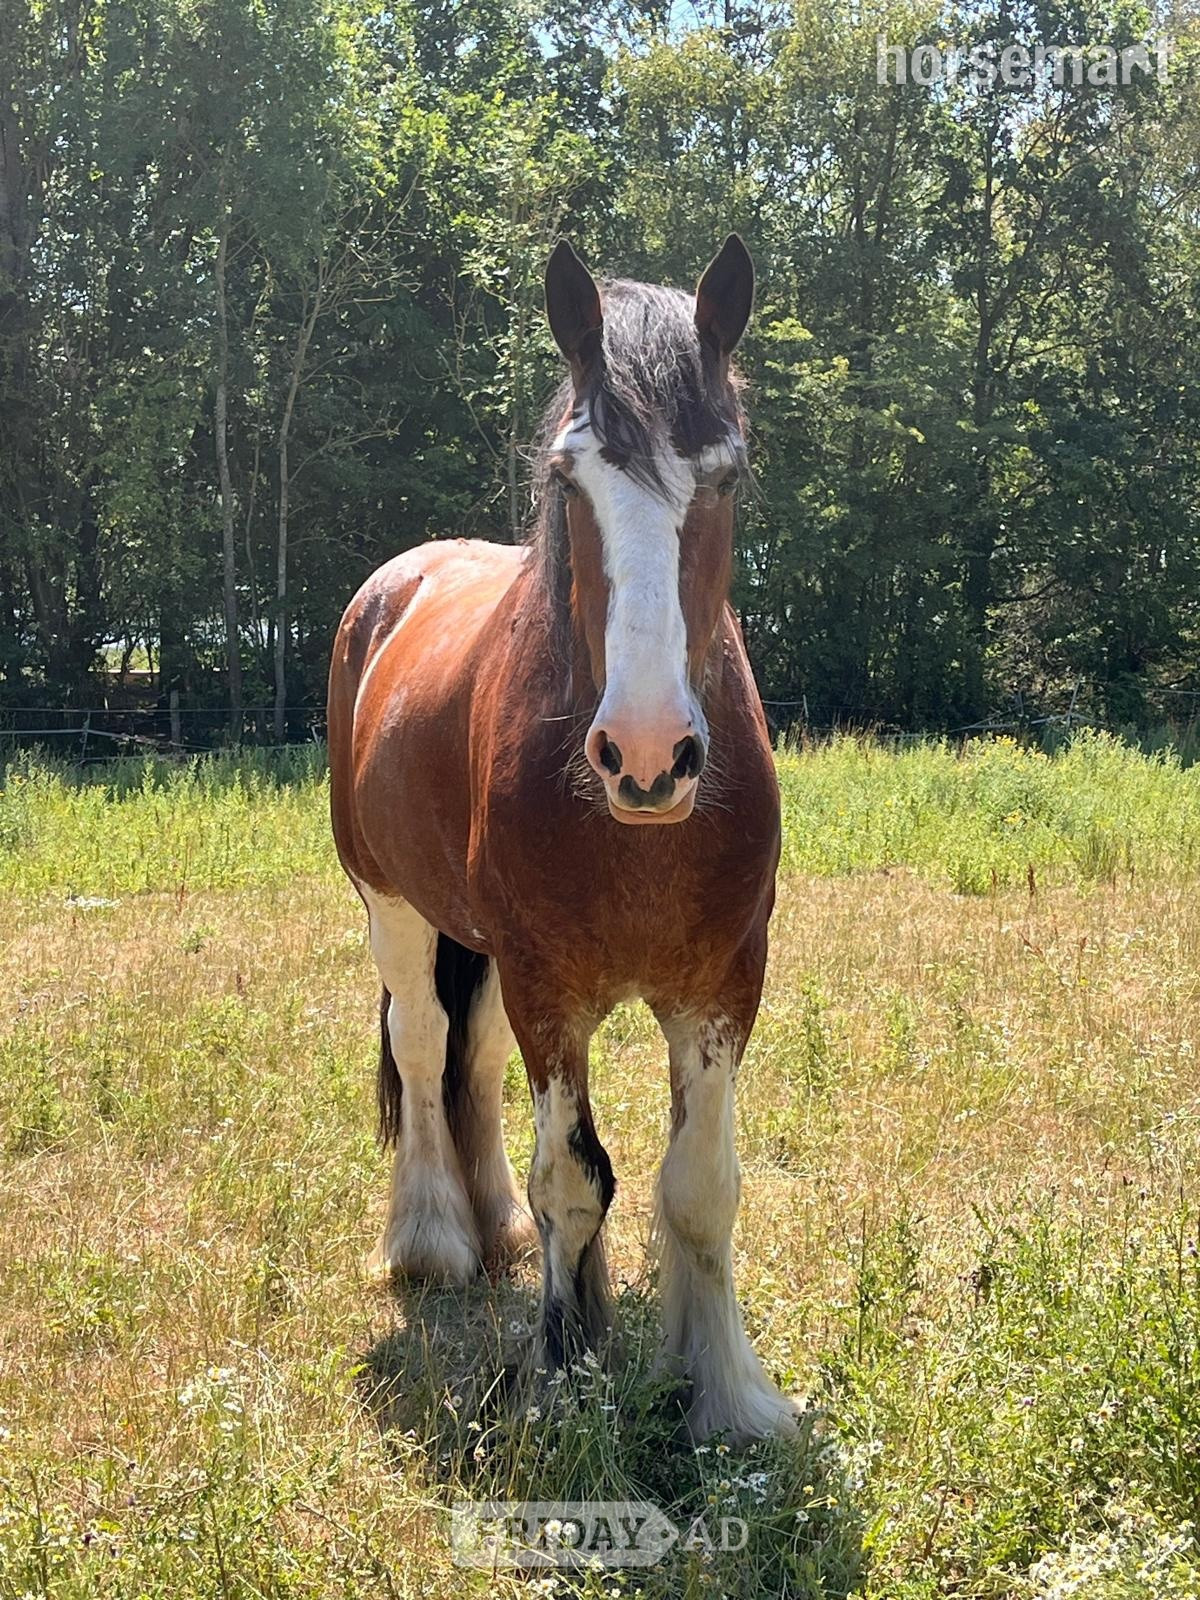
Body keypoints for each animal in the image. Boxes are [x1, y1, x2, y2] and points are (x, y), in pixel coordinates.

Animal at [328, 235, 799, 1443]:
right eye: (566, 477)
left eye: (728, 475)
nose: (648, 753)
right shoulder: (552, 987)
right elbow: (576, 1181)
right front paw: (565, 1369)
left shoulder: (722, 985)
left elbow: (698, 1186)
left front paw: (723, 1390)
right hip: (394, 905)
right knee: (421, 1042)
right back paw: (436, 1239)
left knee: (473, 1055)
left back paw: (489, 1224)